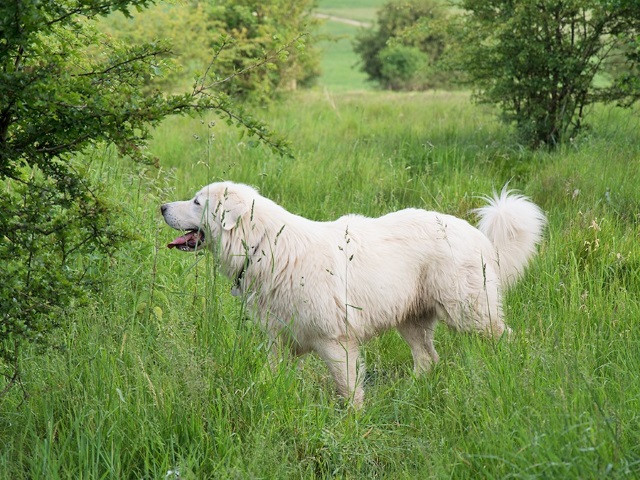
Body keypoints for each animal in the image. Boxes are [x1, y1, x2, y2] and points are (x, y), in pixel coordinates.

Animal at [161, 182, 546, 407]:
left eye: (196, 202)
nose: (162, 207)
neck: (263, 245)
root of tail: (478, 236)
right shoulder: (281, 342)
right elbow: (271, 379)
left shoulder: (337, 344)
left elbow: (348, 392)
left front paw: (351, 428)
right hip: (411, 320)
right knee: (428, 359)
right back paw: (407, 393)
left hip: (469, 312)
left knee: (506, 337)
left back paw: (514, 370)